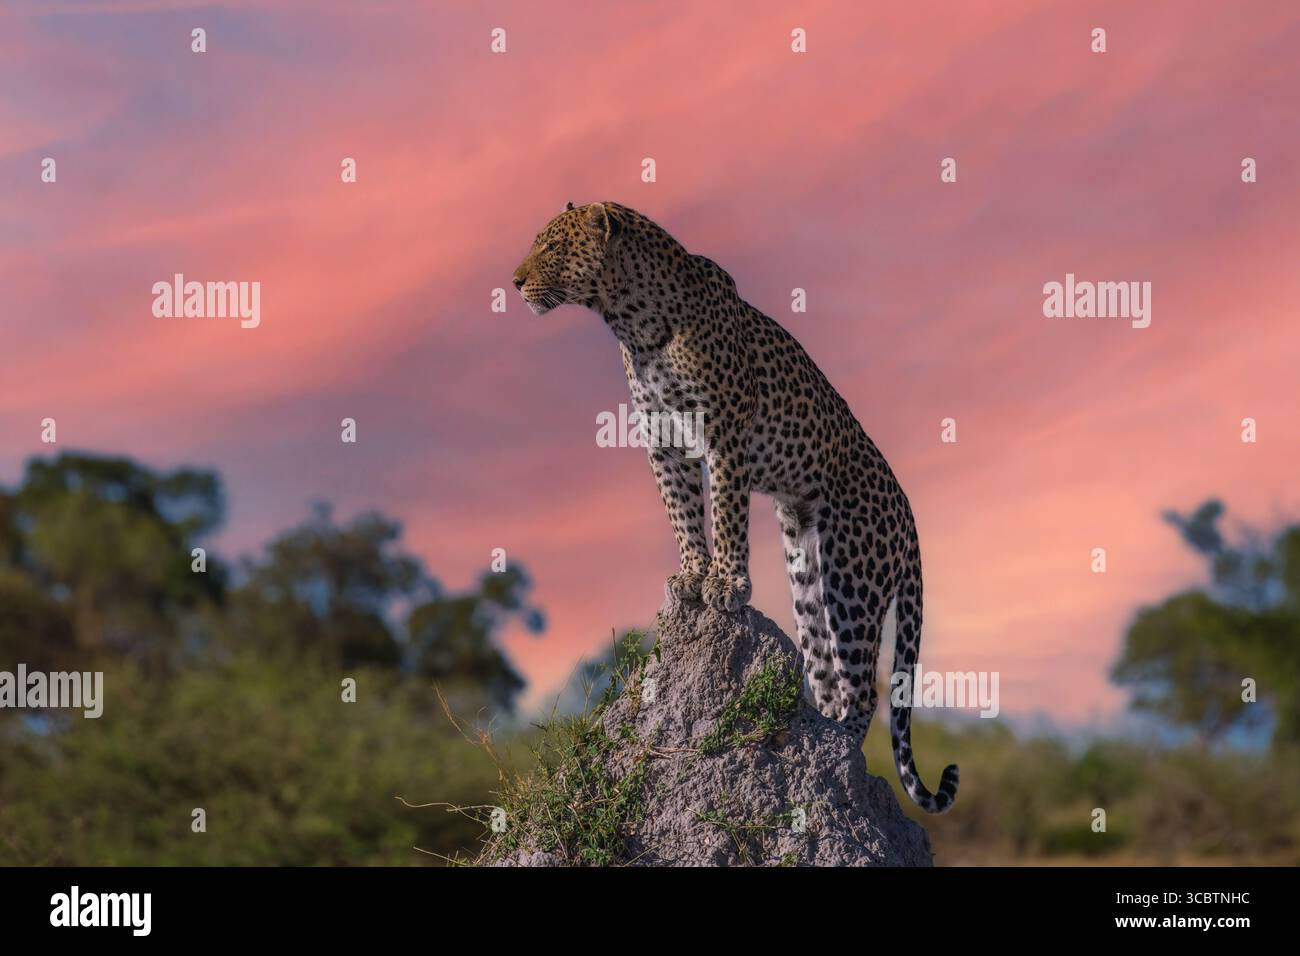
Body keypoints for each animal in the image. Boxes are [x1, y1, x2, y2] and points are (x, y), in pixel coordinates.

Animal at [512, 201, 959, 813]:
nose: (515, 282)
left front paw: (725, 584)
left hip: (852, 580)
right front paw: (691, 577)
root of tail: (909, 509)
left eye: (553, 248)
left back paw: (840, 750)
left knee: (865, 686)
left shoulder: (724, 435)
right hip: (806, 576)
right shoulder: (661, 440)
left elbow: (725, 514)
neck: (632, 320)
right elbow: (682, 514)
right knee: (825, 674)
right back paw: (821, 731)